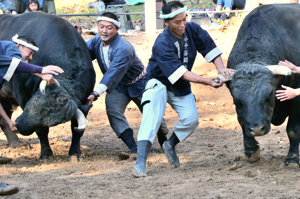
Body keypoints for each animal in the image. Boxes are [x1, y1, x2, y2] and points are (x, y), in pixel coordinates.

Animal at [0, 12, 95, 159]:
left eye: (53, 122)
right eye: (35, 100)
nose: (20, 126)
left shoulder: (84, 102)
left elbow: (77, 129)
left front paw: (75, 153)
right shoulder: (22, 95)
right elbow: (42, 131)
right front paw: (46, 154)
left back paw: (17, 143)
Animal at [226, 3, 300, 166]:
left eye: (269, 95)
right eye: (237, 101)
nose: (257, 129)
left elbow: (293, 129)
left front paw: (292, 158)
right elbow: (242, 121)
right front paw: (251, 150)